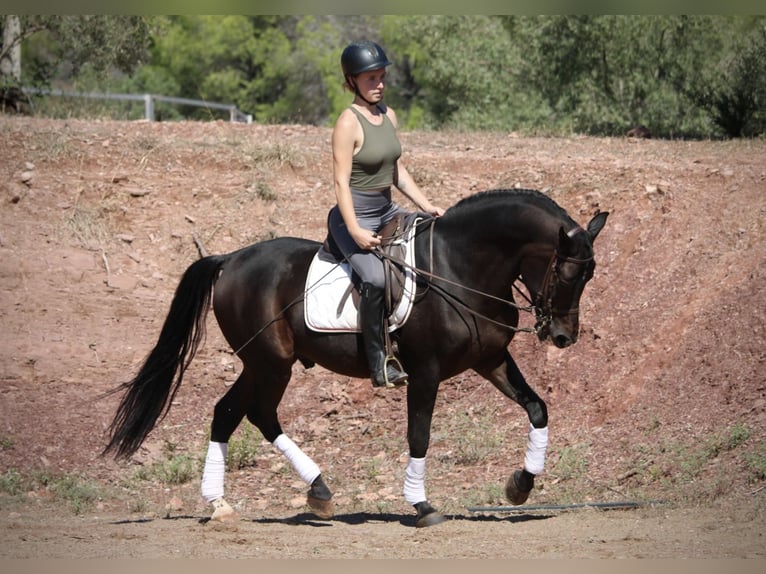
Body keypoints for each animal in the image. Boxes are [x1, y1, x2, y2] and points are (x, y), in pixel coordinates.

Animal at [104, 188, 608, 527]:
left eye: (590, 276)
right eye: (566, 273)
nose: (563, 337)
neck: (458, 267)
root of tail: (231, 259)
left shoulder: (492, 359)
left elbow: (537, 408)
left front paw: (521, 485)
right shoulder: (425, 372)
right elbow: (419, 435)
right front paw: (422, 505)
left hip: (263, 363)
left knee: (236, 413)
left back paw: (258, 498)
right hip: (270, 362)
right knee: (251, 412)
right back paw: (276, 494)